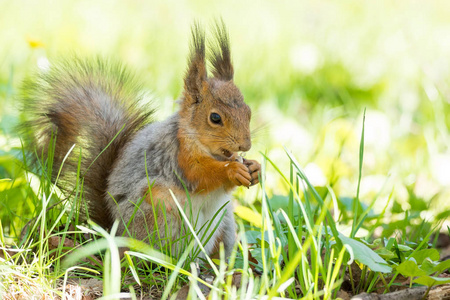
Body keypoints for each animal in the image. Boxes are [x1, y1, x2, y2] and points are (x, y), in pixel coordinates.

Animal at [20, 21, 260, 256]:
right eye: (215, 118)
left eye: (248, 111)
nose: (245, 144)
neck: (204, 147)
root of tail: (114, 233)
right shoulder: (177, 155)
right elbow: (199, 175)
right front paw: (232, 170)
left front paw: (255, 168)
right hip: (159, 213)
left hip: (225, 223)